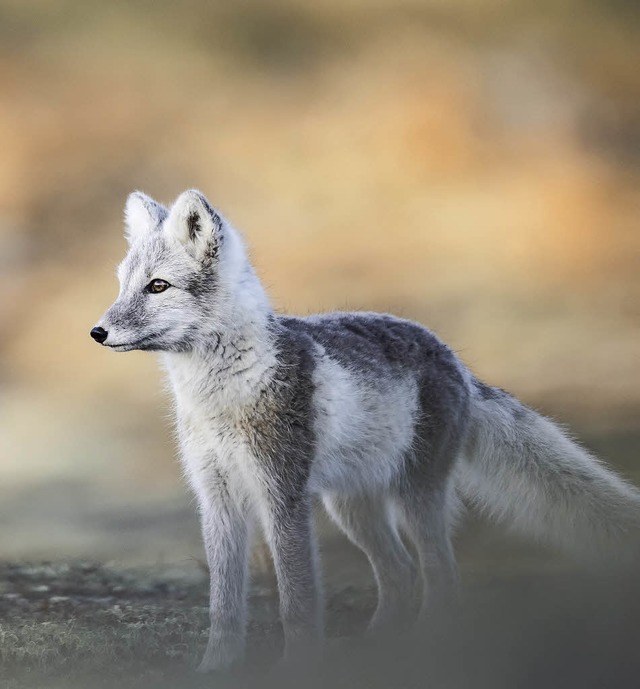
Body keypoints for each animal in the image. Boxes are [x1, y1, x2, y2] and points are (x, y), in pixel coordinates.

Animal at [92, 189, 636, 672]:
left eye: (157, 286)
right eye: (121, 284)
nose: (96, 332)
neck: (221, 394)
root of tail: (457, 361)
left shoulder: (281, 495)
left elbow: (298, 600)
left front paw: (297, 668)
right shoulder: (217, 497)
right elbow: (224, 606)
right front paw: (216, 669)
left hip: (414, 499)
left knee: (441, 579)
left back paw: (423, 649)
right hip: (353, 508)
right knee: (400, 574)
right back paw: (373, 652)